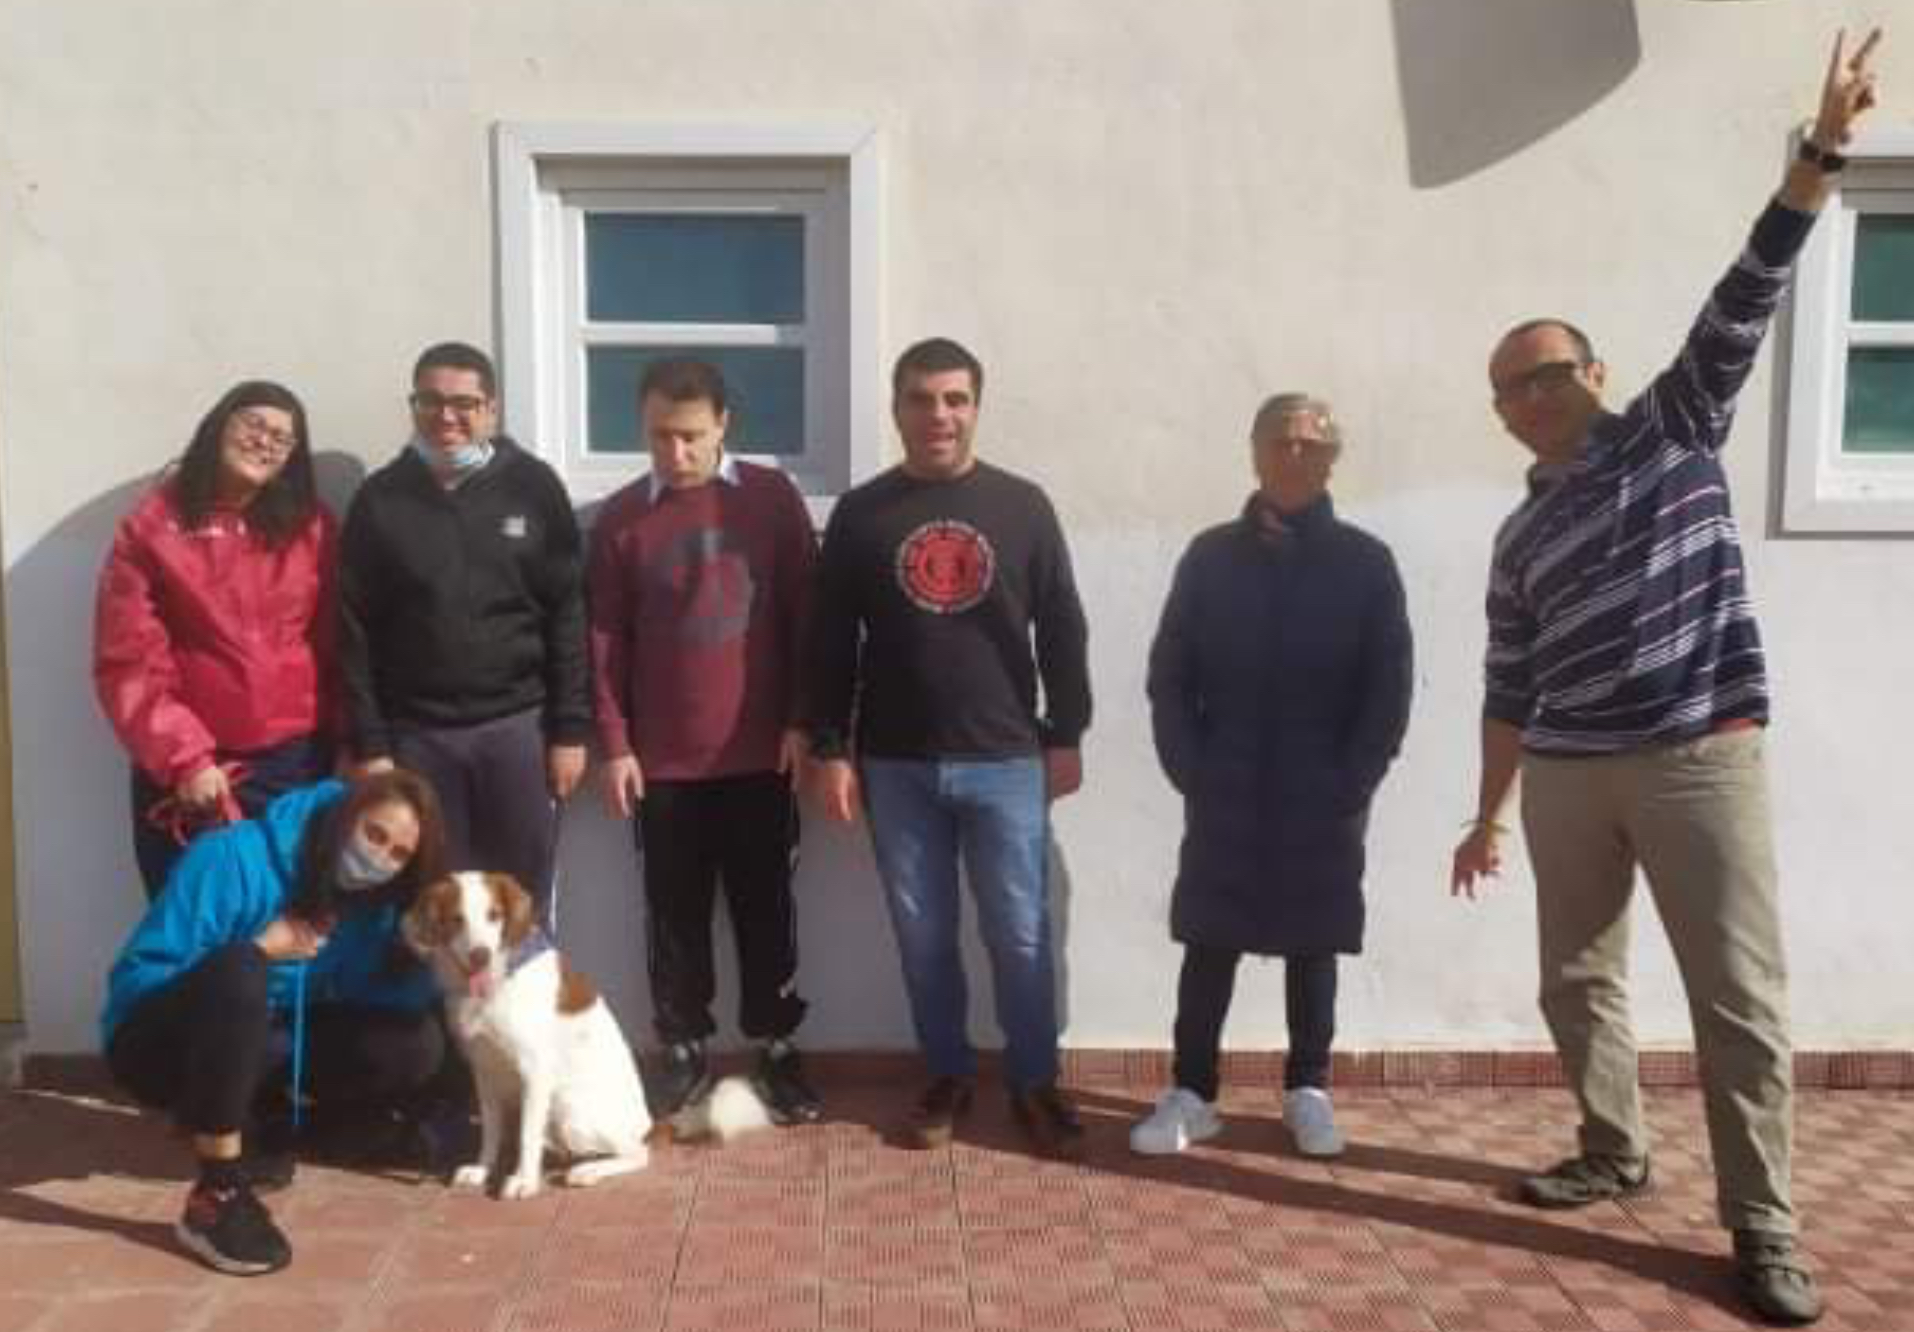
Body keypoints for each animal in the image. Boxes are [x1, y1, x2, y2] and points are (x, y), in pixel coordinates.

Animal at [403, 871, 651, 1198]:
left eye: (494, 915)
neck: (498, 980)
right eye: (456, 919)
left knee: (637, 1152)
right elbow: (491, 1130)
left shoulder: (535, 1070)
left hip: (569, 1110)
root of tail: (647, 1122)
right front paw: (482, 1169)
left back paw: (588, 1171)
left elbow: (526, 1134)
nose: (480, 956)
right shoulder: (484, 1071)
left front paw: (524, 1180)